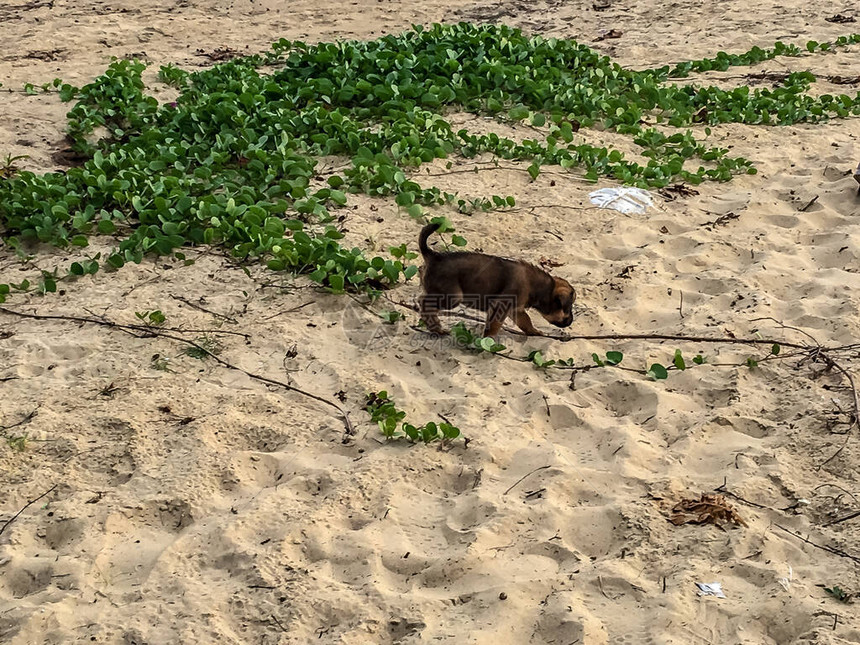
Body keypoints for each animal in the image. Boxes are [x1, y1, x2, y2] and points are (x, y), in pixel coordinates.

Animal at [418, 223, 576, 338]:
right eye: (568, 308)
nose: (571, 322)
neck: (539, 287)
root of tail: (435, 257)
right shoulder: (501, 306)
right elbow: (493, 326)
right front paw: (487, 341)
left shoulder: (516, 310)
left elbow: (526, 322)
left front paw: (534, 332)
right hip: (453, 297)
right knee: (424, 303)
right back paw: (437, 329)